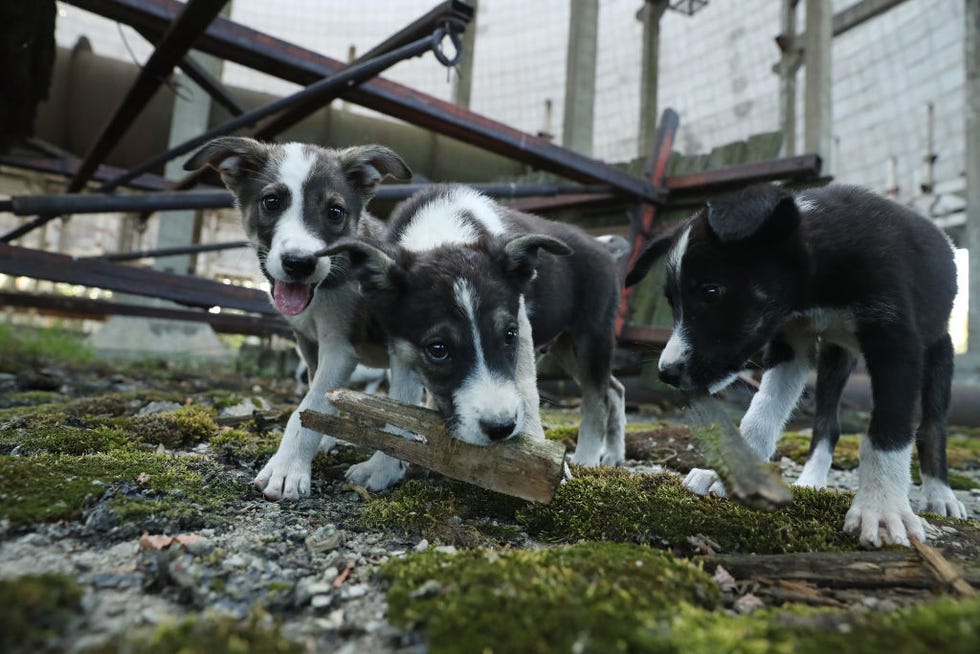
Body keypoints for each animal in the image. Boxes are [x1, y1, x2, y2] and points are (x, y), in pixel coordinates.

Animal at [184, 136, 410, 500]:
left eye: (335, 212)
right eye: (271, 202)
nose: (299, 263)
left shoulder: (339, 348)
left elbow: (307, 407)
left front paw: (287, 469)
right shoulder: (309, 345)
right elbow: (319, 401)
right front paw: (325, 438)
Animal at [326, 184, 624, 486]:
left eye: (509, 335)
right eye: (438, 349)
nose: (501, 429)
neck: (443, 230)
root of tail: (603, 246)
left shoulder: (522, 326)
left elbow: (527, 390)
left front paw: (543, 463)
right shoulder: (401, 343)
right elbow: (400, 398)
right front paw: (383, 466)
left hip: (591, 337)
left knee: (597, 399)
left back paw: (586, 458)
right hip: (564, 345)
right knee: (615, 389)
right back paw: (613, 454)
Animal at [628, 183, 964, 548]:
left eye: (711, 291)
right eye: (672, 302)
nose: (667, 373)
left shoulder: (897, 344)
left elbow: (888, 431)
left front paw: (882, 509)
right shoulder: (790, 343)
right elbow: (761, 415)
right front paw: (737, 474)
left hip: (938, 350)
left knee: (932, 427)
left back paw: (940, 494)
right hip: (835, 356)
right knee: (827, 424)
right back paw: (812, 479)